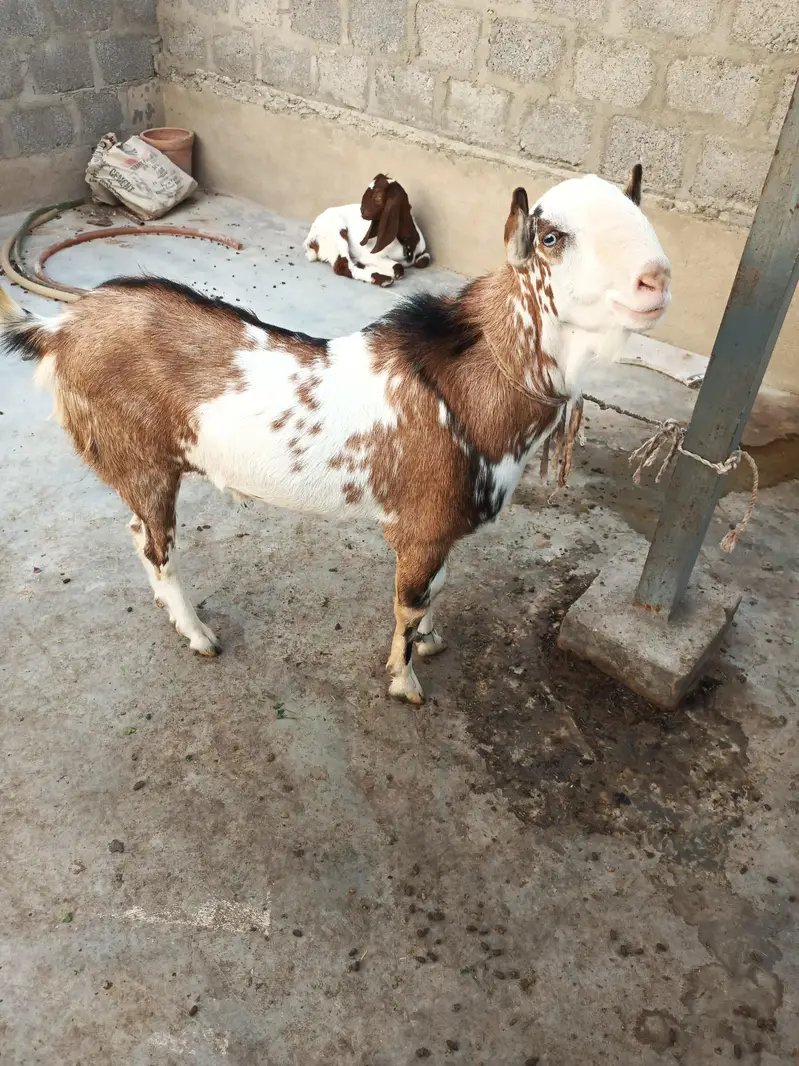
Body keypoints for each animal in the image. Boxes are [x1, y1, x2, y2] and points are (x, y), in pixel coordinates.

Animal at [1, 166, 670, 704]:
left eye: (641, 215)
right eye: (552, 238)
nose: (656, 279)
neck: (470, 382)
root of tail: (58, 327)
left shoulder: (438, 531)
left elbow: (437, 590)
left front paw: (432, 642)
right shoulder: (423, 526)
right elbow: (410, 603)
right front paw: (406, 682)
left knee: (140, 535)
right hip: (142, 462)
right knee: (155, 546)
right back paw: (199, 635)